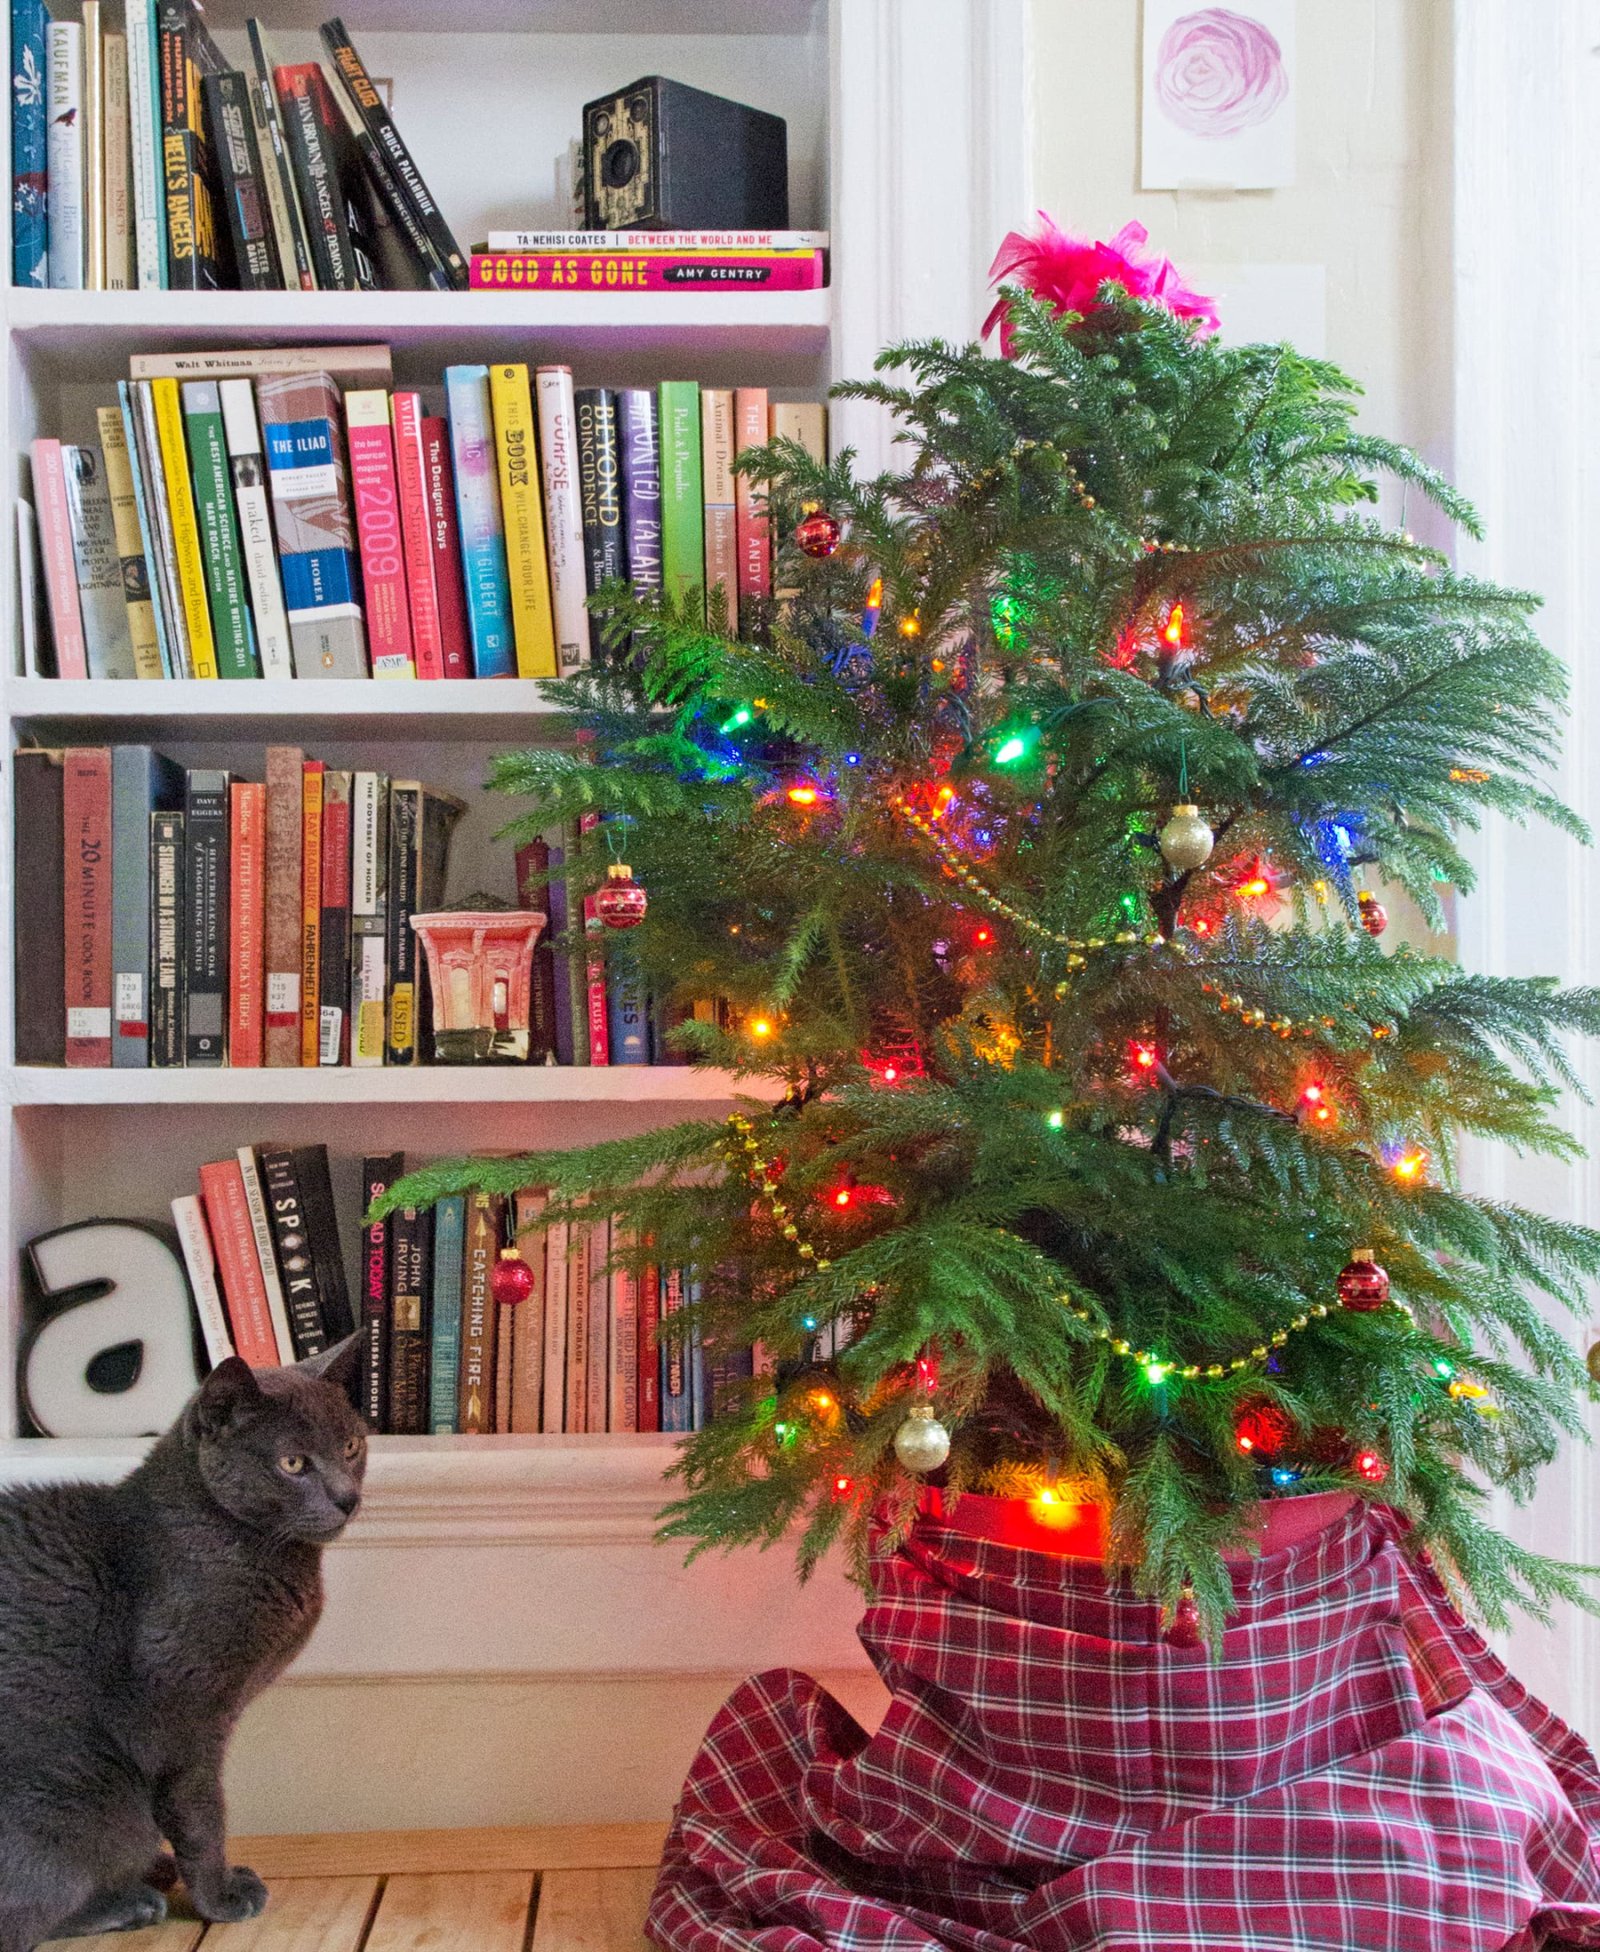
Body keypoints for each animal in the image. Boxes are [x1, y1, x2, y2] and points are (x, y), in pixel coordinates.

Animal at [0, 1342, 364, 1952]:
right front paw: (220, 1896)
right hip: (89, 1800)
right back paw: (131, 1901)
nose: (347, 1498)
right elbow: (202, 1813)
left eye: (353, 1446)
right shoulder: (185, 1719)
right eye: (292, 1464)